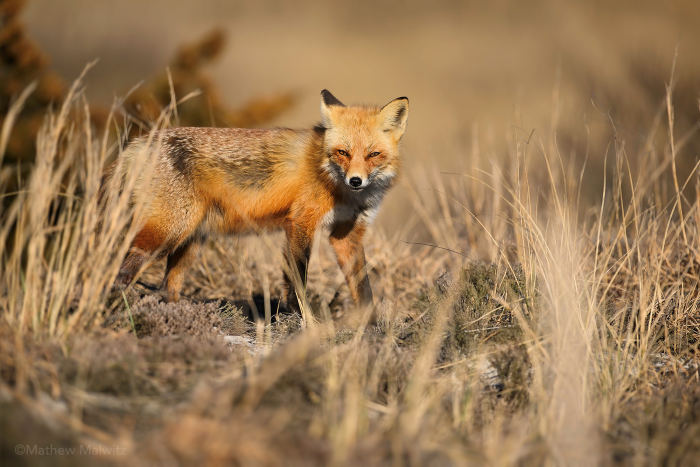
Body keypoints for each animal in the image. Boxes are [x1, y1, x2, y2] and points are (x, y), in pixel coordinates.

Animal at [99, 90, 409, 315]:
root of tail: (138, 143)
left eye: (373, 155)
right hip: (168, 231)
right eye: (343, 152)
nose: (356, 181)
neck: (330, 177)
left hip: (191, 240)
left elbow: (363, 287)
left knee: (168, 287)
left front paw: (370, 325)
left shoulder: (347, 233)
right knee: (123, 269)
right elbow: (297, 276)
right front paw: (302, 316)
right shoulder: (301, 222)